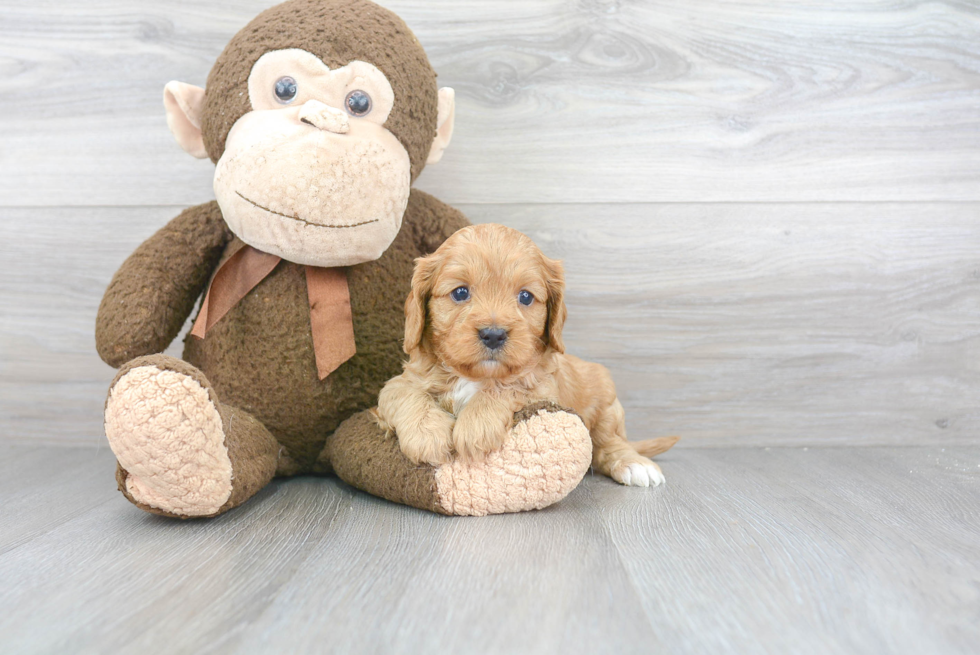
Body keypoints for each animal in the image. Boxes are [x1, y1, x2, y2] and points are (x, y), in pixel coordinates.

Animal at [378, 226, 676, 486]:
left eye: (525, 297)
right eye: (460, 292)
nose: (493, 334)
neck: (475, 376)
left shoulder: (544, 389)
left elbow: (511, 386)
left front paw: (476, 426)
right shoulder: (401, 382)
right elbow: (402, 393)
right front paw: (426, 434)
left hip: (607, 407)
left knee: (608, 444)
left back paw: (635, 465)